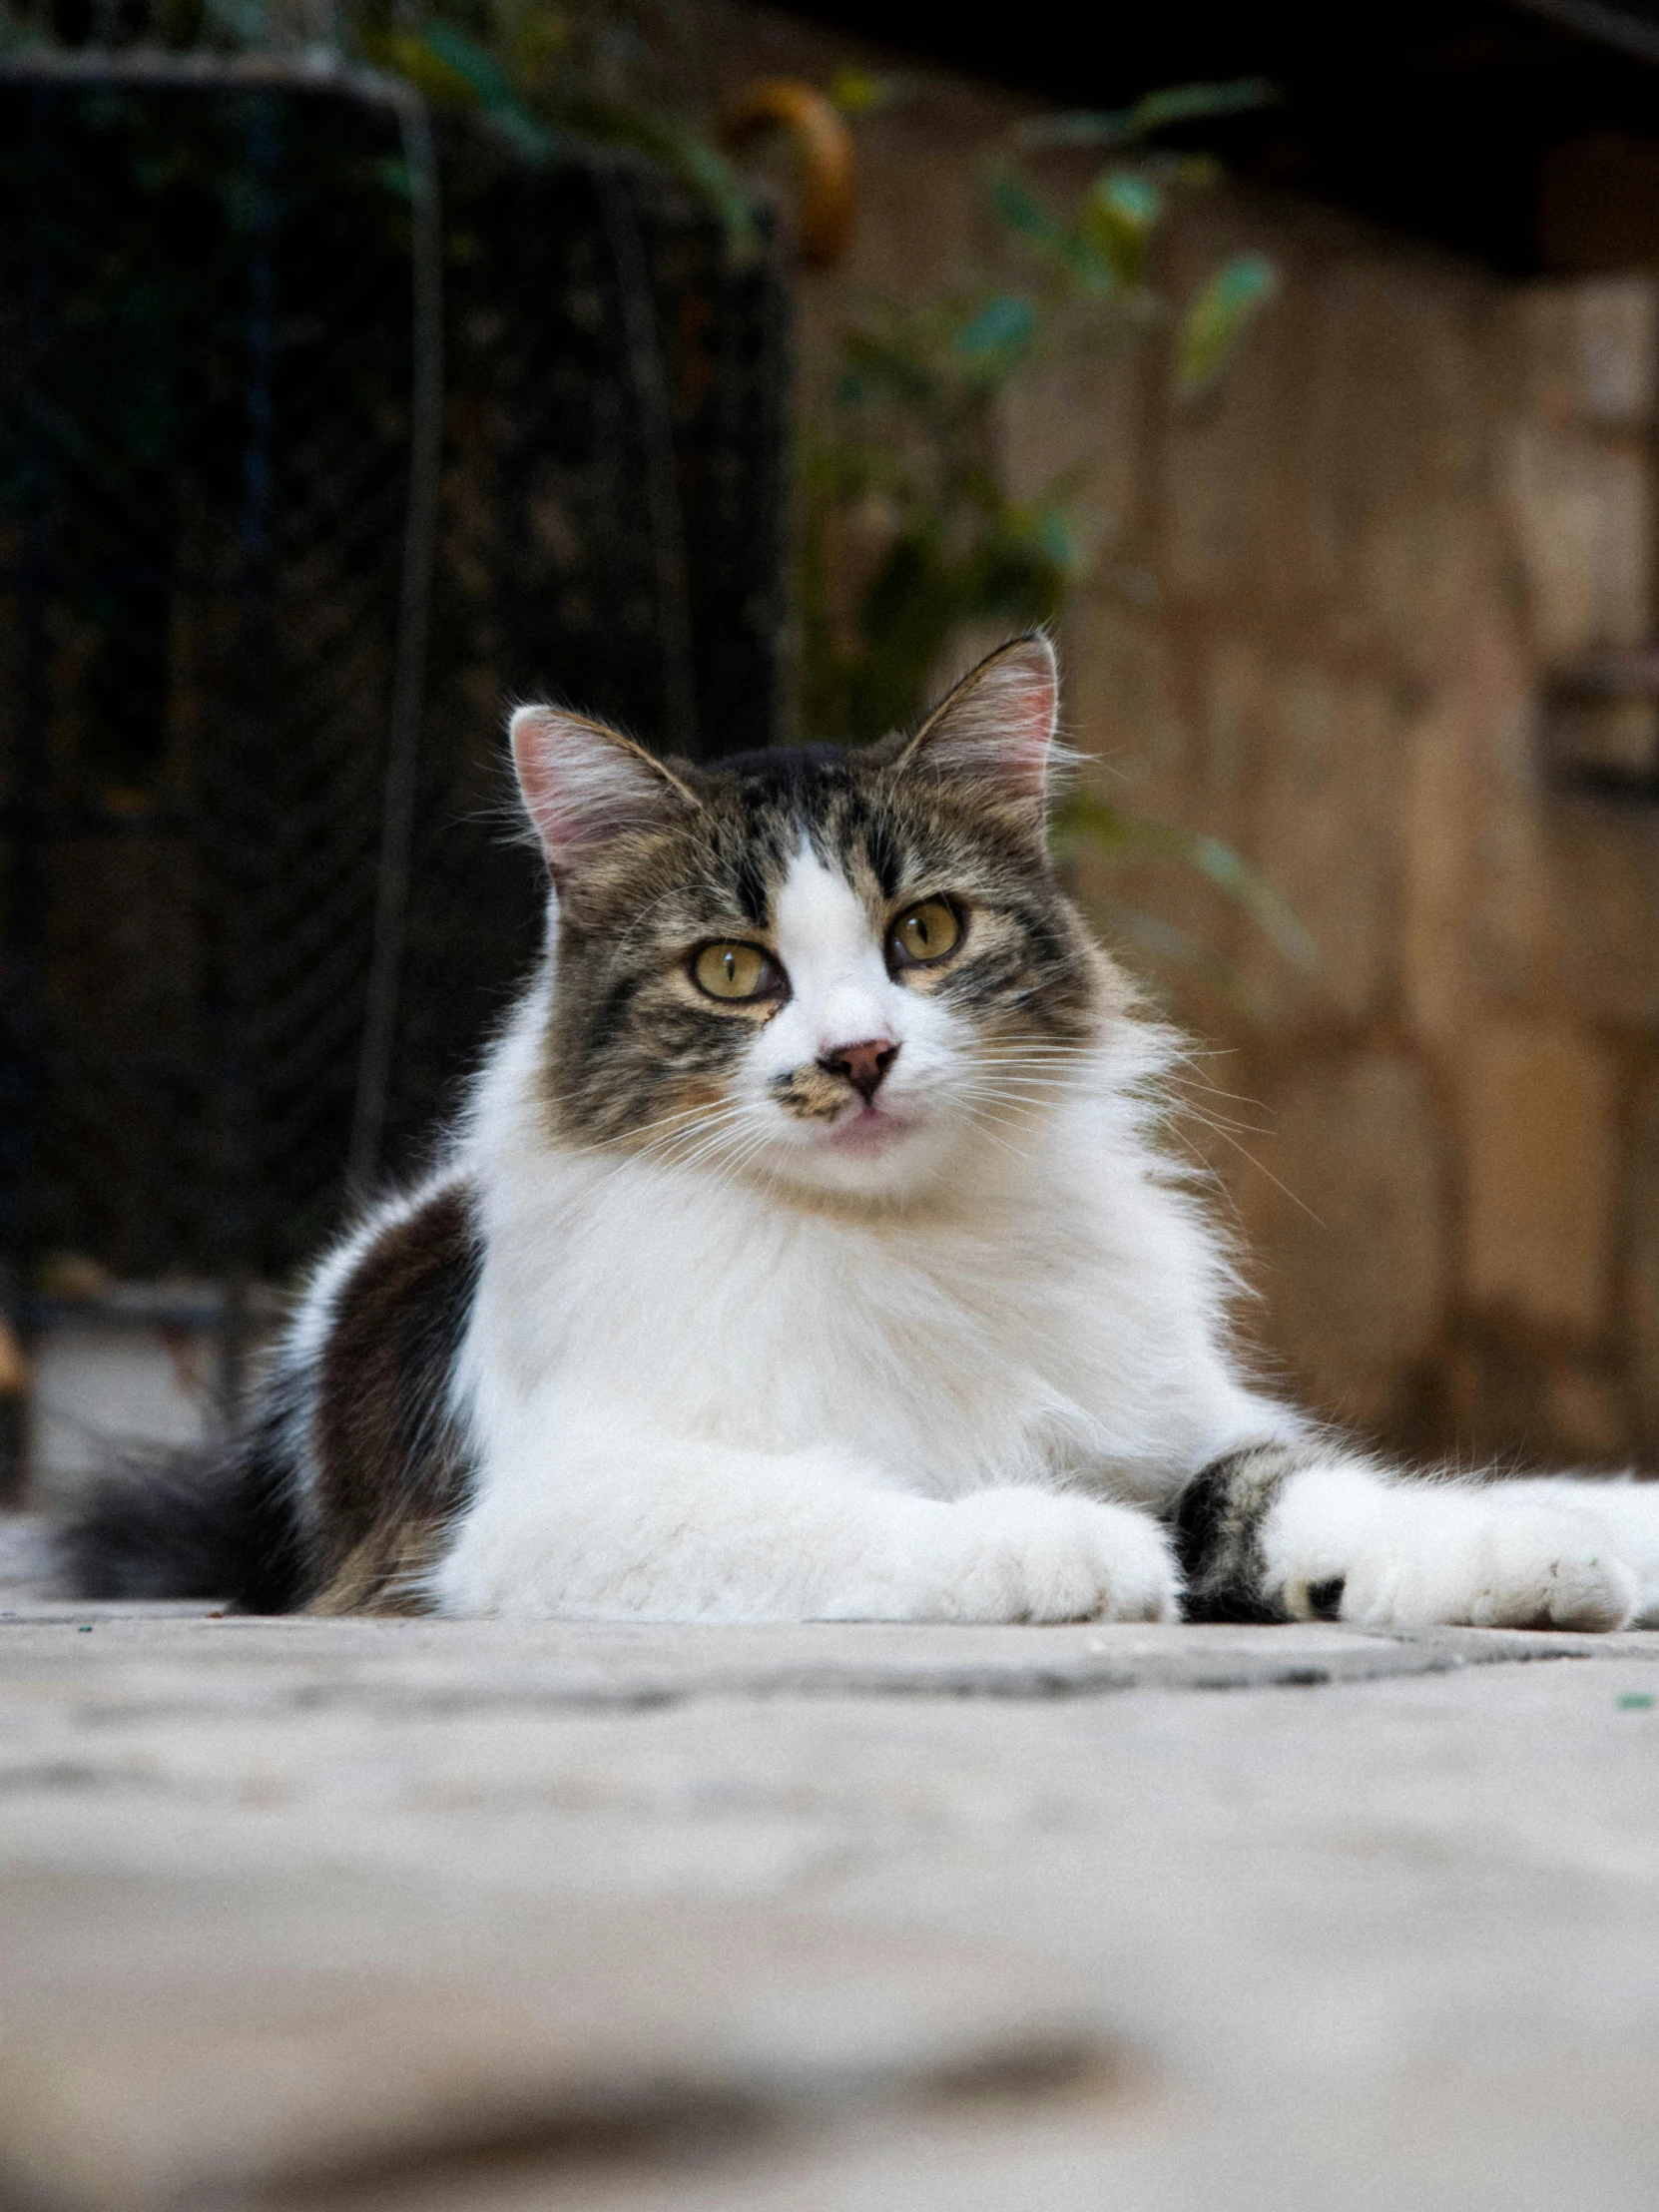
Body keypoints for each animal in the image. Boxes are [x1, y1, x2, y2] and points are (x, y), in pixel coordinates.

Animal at [65, 637, 1659, 1627]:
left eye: (927, 934)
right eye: (731, 969)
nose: (860, 1055)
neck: (894, 1244)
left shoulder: (1180, 1430)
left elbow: (1304, 1490)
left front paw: (1517, 1550)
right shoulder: (558, 1506)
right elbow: (854, 1507)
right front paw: (1064, 1543)